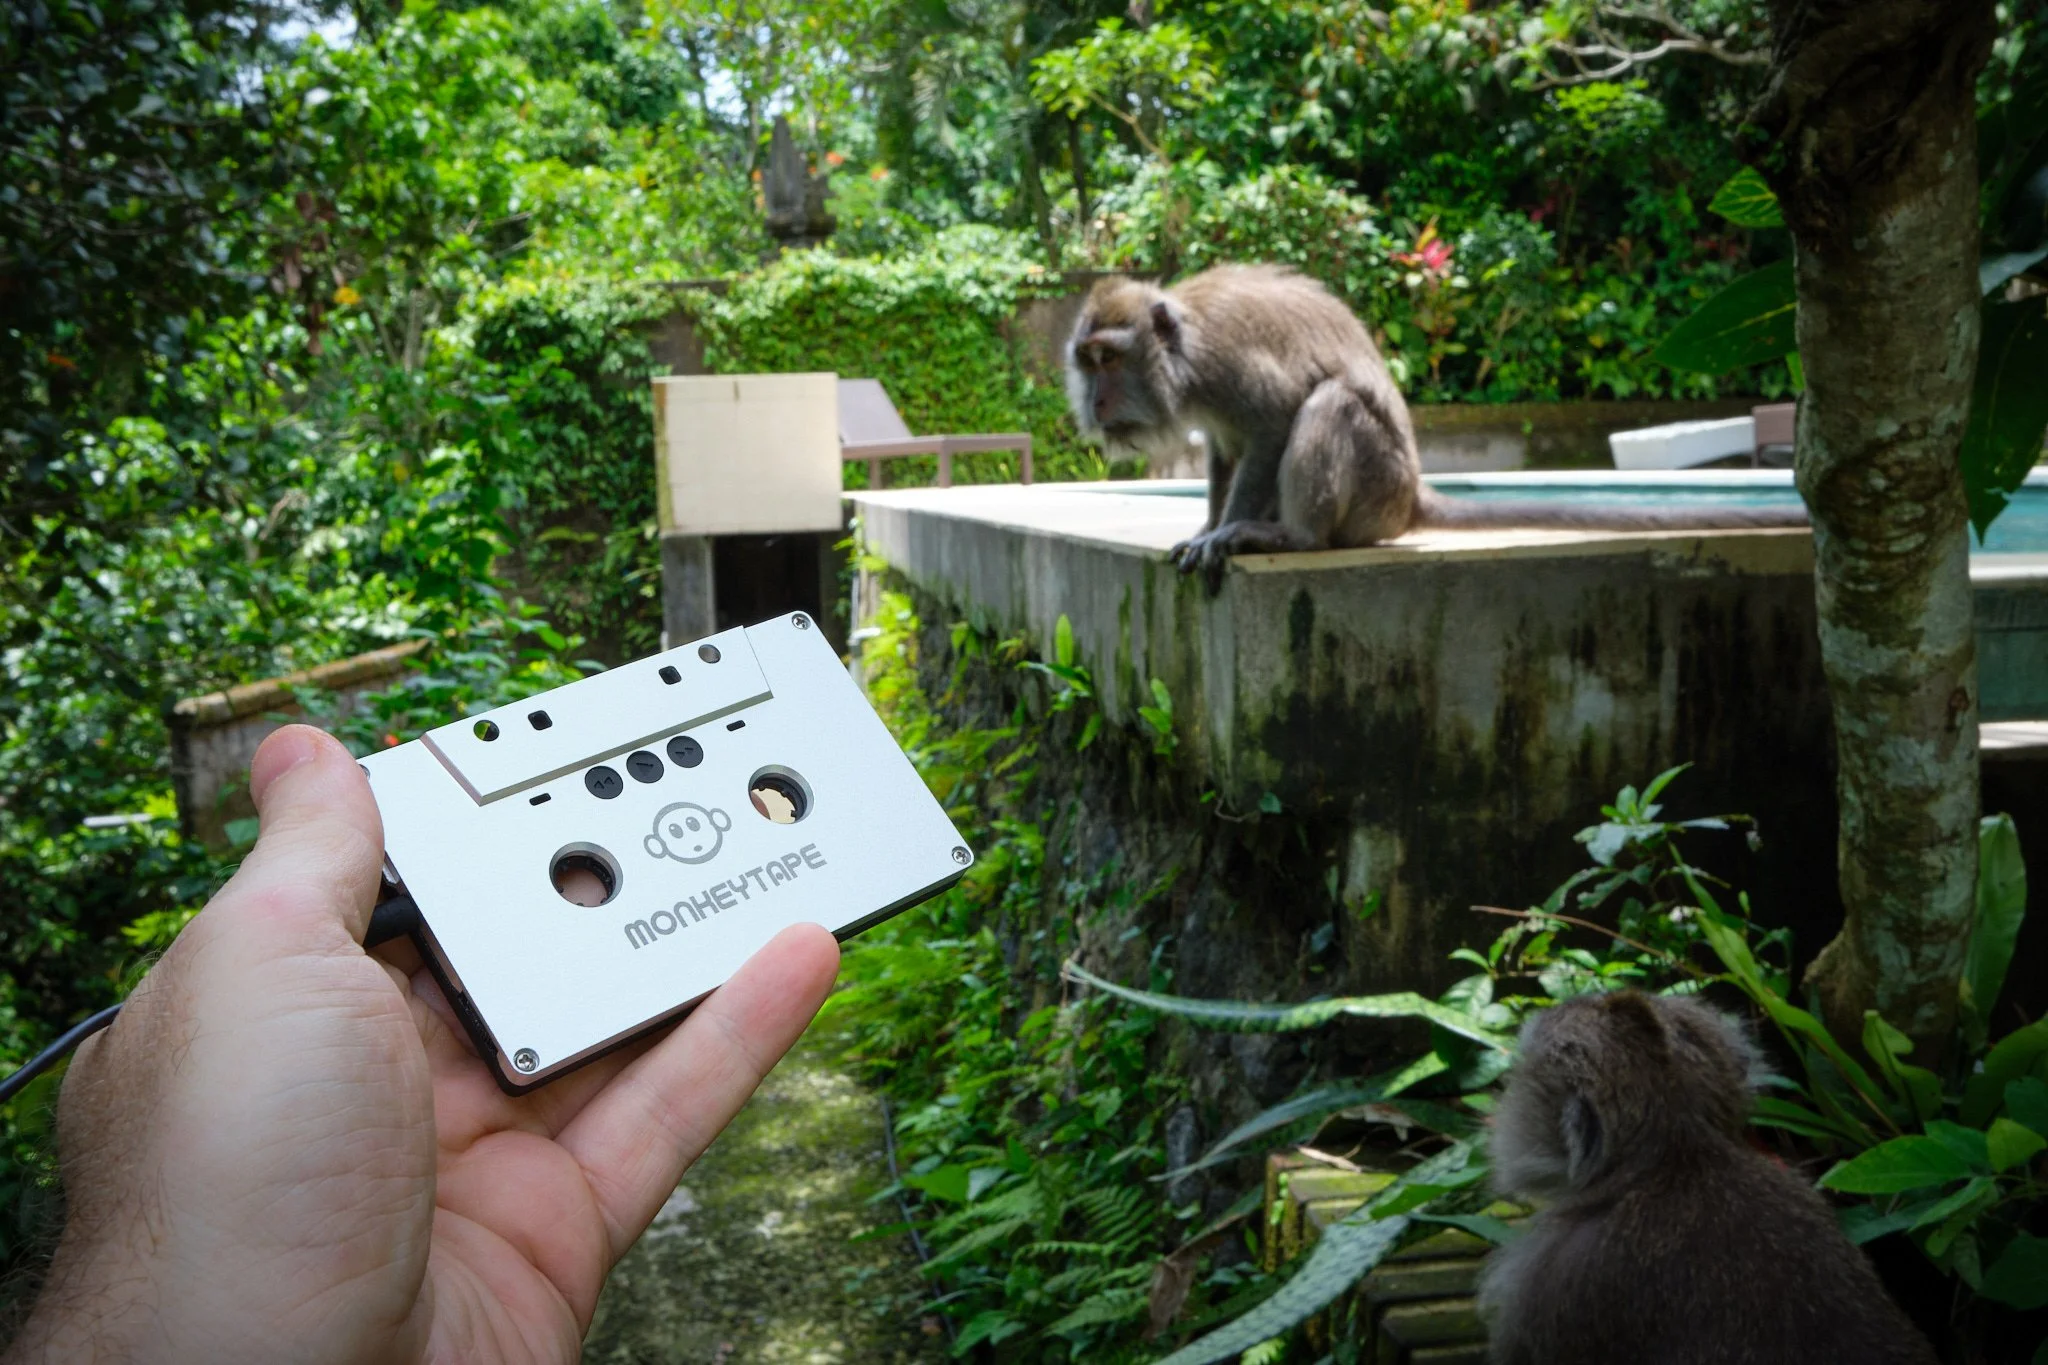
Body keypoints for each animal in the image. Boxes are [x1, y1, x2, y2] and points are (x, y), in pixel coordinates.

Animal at [1065, 266, 1809, 592]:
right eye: (1087, 361)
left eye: (1111, 359)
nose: (1095, 402)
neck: (1182, 349)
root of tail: (1411, 496)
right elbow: (1225, 450)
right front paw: (1204, 525)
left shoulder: (1226, 366)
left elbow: (1274, 423)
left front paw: (1224, 533)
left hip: (1375, 488)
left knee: (1332, 402)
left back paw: (1293, 536)